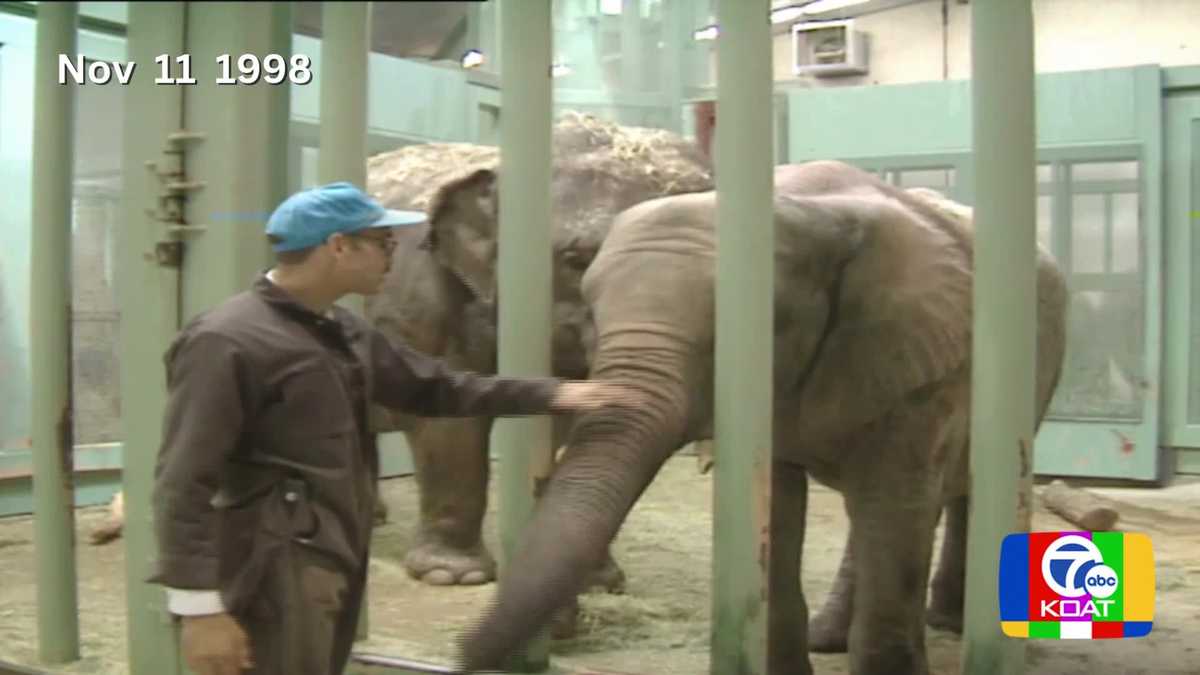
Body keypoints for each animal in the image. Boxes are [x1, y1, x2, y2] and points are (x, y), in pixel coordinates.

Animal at [453, 158, 1065, 672]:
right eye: (593, 314)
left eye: (742, 330)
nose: (462, 651)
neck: (808, 209)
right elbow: (778, 504)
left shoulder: (921, 355)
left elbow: (895, 504)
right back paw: (832, 636)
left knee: (951, 494)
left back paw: (952, 623)